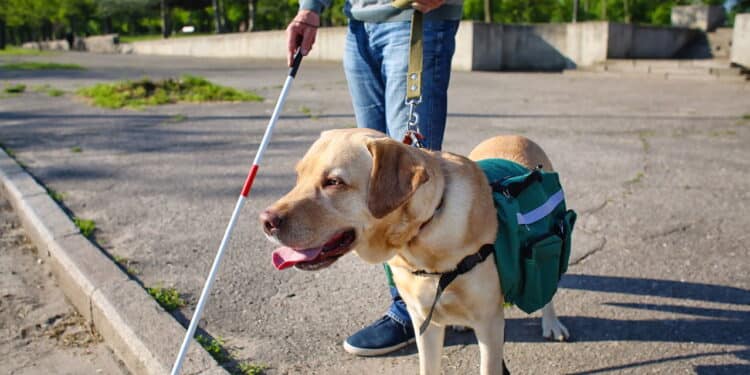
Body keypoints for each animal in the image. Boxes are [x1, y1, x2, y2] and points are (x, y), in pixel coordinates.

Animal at [262, 128, 568, 374]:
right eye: (299, 176)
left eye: (334, 182)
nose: (265, 221)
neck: (420, 237)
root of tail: (515, 135)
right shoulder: (424, 322)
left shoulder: (490, 326)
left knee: (548, 292)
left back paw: (552, 324)